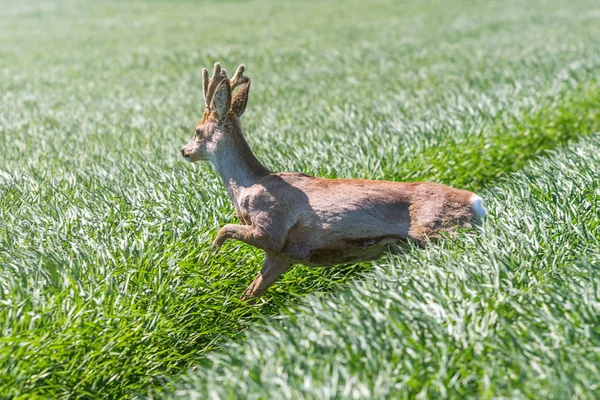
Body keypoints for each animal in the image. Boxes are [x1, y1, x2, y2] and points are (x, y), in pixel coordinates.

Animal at [180, 62, 486, 300]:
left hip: (438, 232)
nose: (184, 151)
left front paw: (208, 257)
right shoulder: (281, 257)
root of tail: (477, 203)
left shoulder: (270, 229)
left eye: (197, 131)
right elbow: (251, 293)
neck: (247, 186)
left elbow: (224, 229)